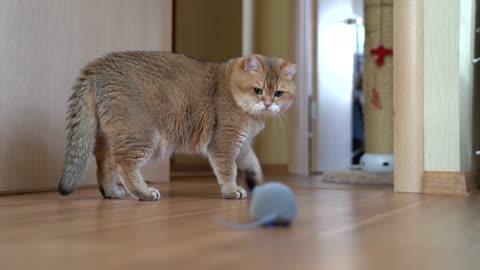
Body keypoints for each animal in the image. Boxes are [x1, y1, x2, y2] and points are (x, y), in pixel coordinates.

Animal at [57, 51, 294, 200]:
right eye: (258, 90)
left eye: (278, 93)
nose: (268, 103)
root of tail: (97, 66)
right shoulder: (224, 143)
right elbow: (229, 169)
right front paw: (231, 191)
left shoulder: (242, 145)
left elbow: (253, 162)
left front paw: (256, 181)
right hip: (141, 134)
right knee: (124, 164)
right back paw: (143, 193)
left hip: (110, 135)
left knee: (105, 164)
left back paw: (112, 192)